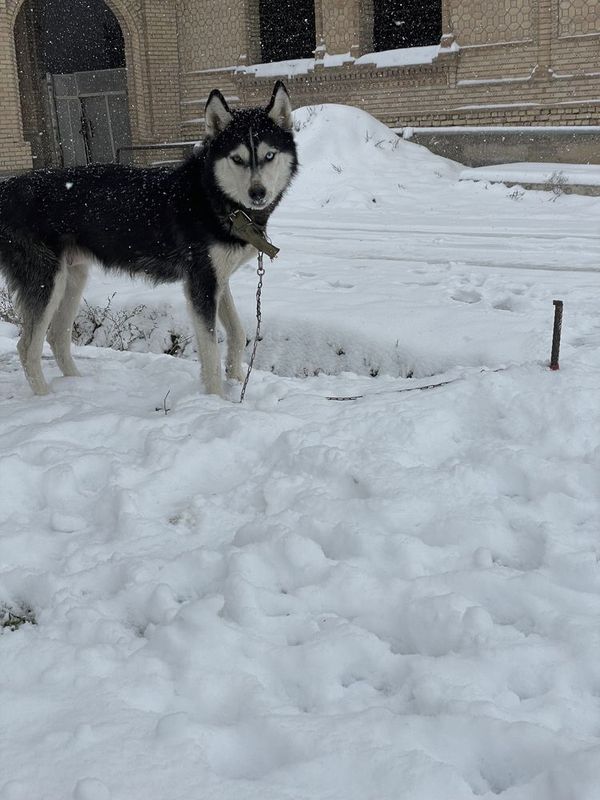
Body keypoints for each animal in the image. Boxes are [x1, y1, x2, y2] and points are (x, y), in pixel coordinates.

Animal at [0, 79, 298, 398]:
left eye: (269, 155)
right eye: (237, 158)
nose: (258, 193)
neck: (212, 196)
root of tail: (7, 189)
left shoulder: (217, 279)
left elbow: (238, 332)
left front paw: (238, 380)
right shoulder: (201, 284)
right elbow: (210, 352)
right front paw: (216, 399)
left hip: (72, 277)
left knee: (56, 336)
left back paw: (76, 385)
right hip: (47, 281)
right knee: (27, 348)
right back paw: (48, 396)